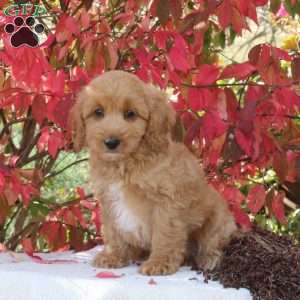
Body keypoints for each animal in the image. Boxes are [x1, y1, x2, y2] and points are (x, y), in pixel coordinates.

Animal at [70, 69, 237, 274]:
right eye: (98, 112)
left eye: (130, 114)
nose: (111, 142)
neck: (125, 163)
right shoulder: (108, 200)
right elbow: (112, 232)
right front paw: (113, 256)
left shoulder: (167, 202)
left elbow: (164, 234)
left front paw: (159, 262)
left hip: (218, 218)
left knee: (212, 241)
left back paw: (209, 259)